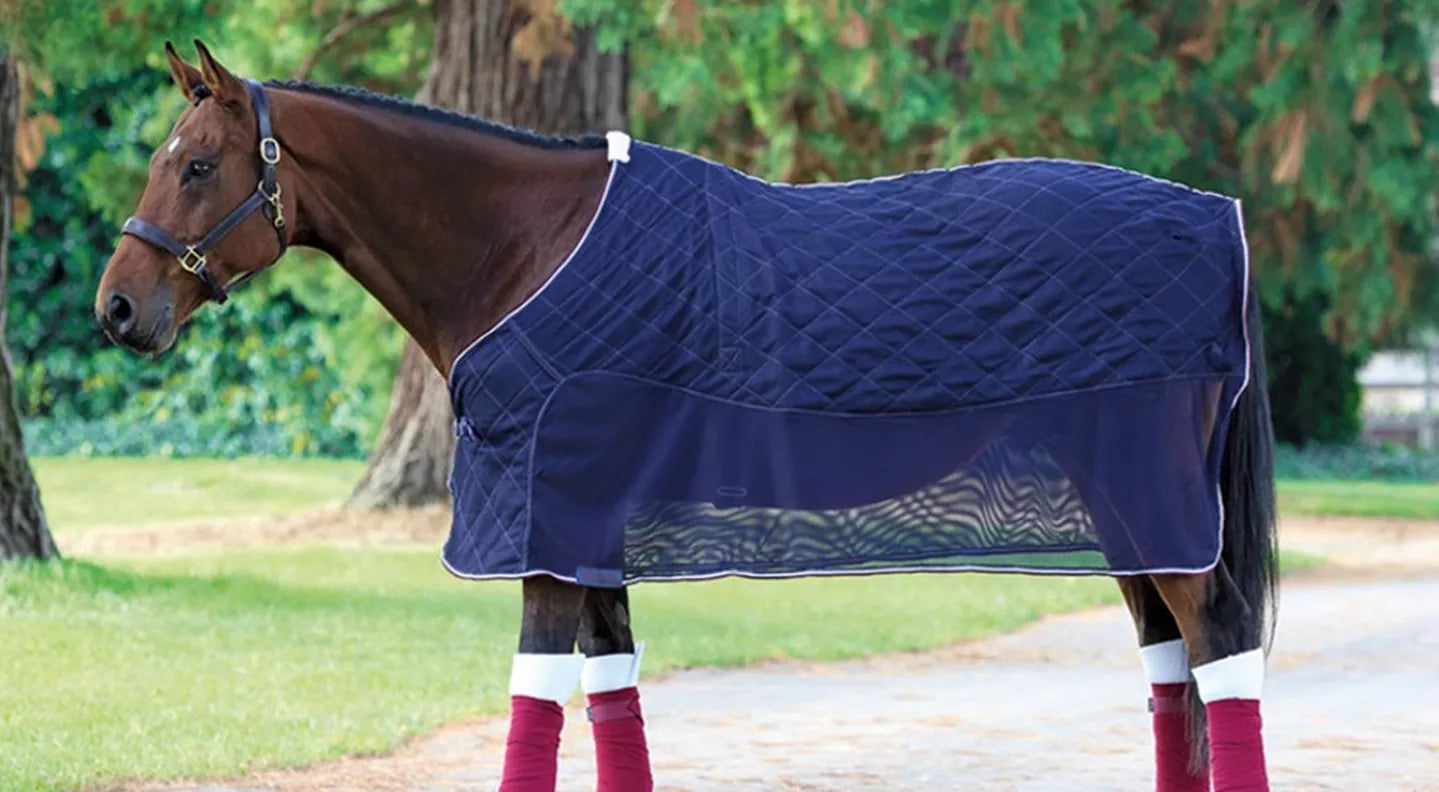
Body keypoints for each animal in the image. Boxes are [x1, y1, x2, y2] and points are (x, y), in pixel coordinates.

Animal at [96, 41, 1278, 792]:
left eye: (197, 165)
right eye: (162, 160)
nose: (117, 309)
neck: (530, 250)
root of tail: (1218, 221)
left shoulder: (547, 531)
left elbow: (536, 706)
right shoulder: (589, 540)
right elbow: (610, 699)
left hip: (1150, 502)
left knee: (1221, 655)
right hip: (1131, 517)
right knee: (1174, 673)